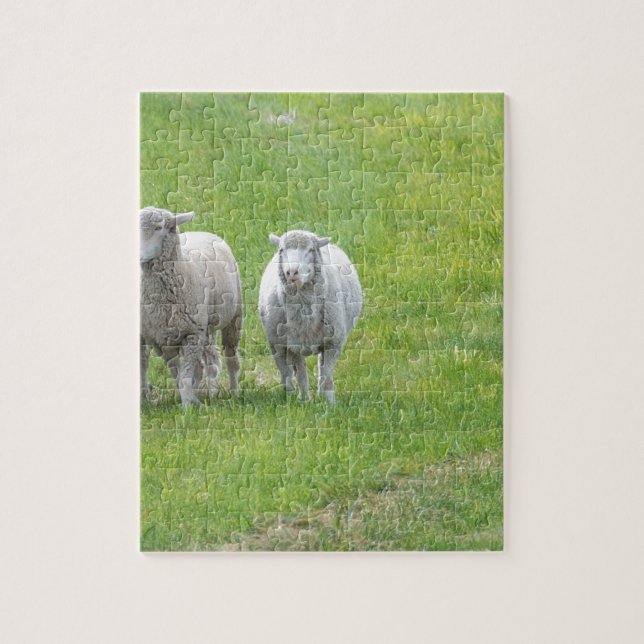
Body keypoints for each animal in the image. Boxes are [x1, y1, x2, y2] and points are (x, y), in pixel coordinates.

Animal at [140, 207, 242, 408]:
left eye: (159, 228)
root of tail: (203, 232)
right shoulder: (165, 338)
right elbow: (180, 375)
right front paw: (191, 400)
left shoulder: (192, 334)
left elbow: (185, 376)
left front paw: (188, 406)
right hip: (206, 328)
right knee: (208, 361)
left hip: (233, 318)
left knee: (230, 357)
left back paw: (234, 392)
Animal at [258, 230, 362, 403]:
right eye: (282, 250)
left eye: (310, 250)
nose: (292, 272)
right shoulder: (288, 344)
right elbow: (299, 375)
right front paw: (303, 400)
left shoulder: (333, 343)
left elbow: (327, 376)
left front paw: (329, 403)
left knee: (322, 368)